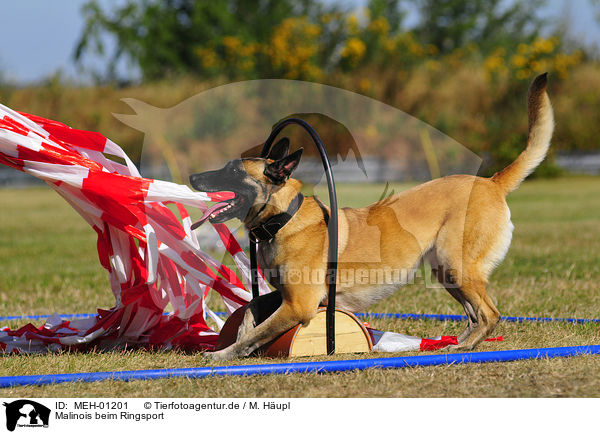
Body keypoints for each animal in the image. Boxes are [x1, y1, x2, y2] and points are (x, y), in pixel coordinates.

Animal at [191, 73, 552, 360]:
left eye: (232, 171)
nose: (194, 177)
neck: (285, 219)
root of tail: (491, 182)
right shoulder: (284, 296)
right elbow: (250, 312)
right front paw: (234, 337)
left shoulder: (299, 305)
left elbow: (256, 332)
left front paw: (223, 354)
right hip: (446, 271)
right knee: (476, 314)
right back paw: (452, 344)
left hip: (456, 264)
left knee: (489, 314)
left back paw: (463, 348)